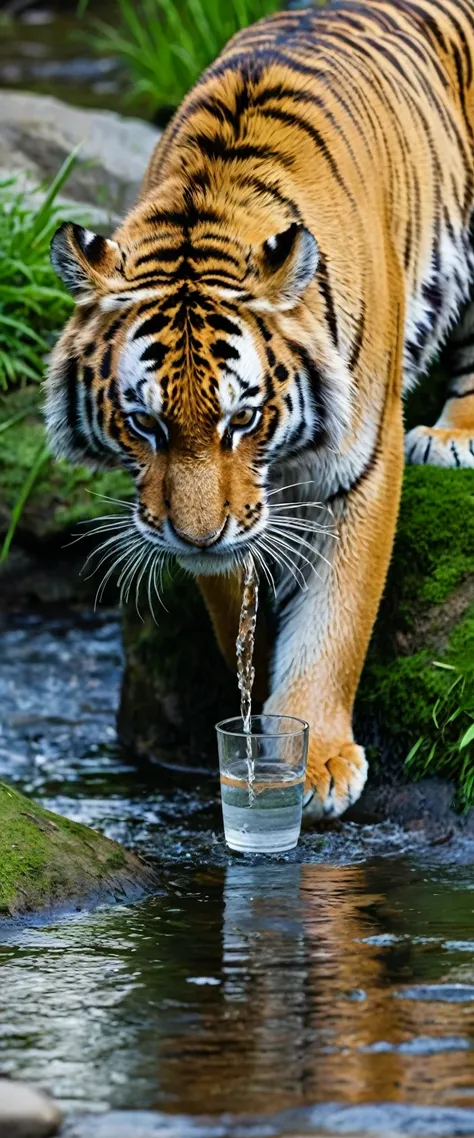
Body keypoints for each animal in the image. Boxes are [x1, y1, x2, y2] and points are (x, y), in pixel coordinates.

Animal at [44, 0, 472, 819]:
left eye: (240, 419)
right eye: (145, 424)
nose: (198, 535)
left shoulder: (363, 464)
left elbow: (338, 617)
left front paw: (319, 760)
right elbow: (236, 602)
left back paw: (454, 435)